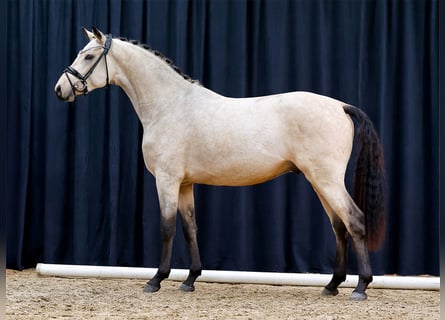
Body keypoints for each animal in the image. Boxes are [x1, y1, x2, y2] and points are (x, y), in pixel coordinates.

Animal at [53, 26, 384, 300]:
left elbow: (167, 228)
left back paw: (360, 287)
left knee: (354, 221)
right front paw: (189, 280)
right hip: (318, 181)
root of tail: (340, 106)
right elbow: (190, 228)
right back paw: (332, 285)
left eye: (89, 56)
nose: (60, 89)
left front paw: (156, 280)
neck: (170, 105)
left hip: (326, 179)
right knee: (339, 226)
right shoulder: (185, 183)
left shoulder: (167, 180)